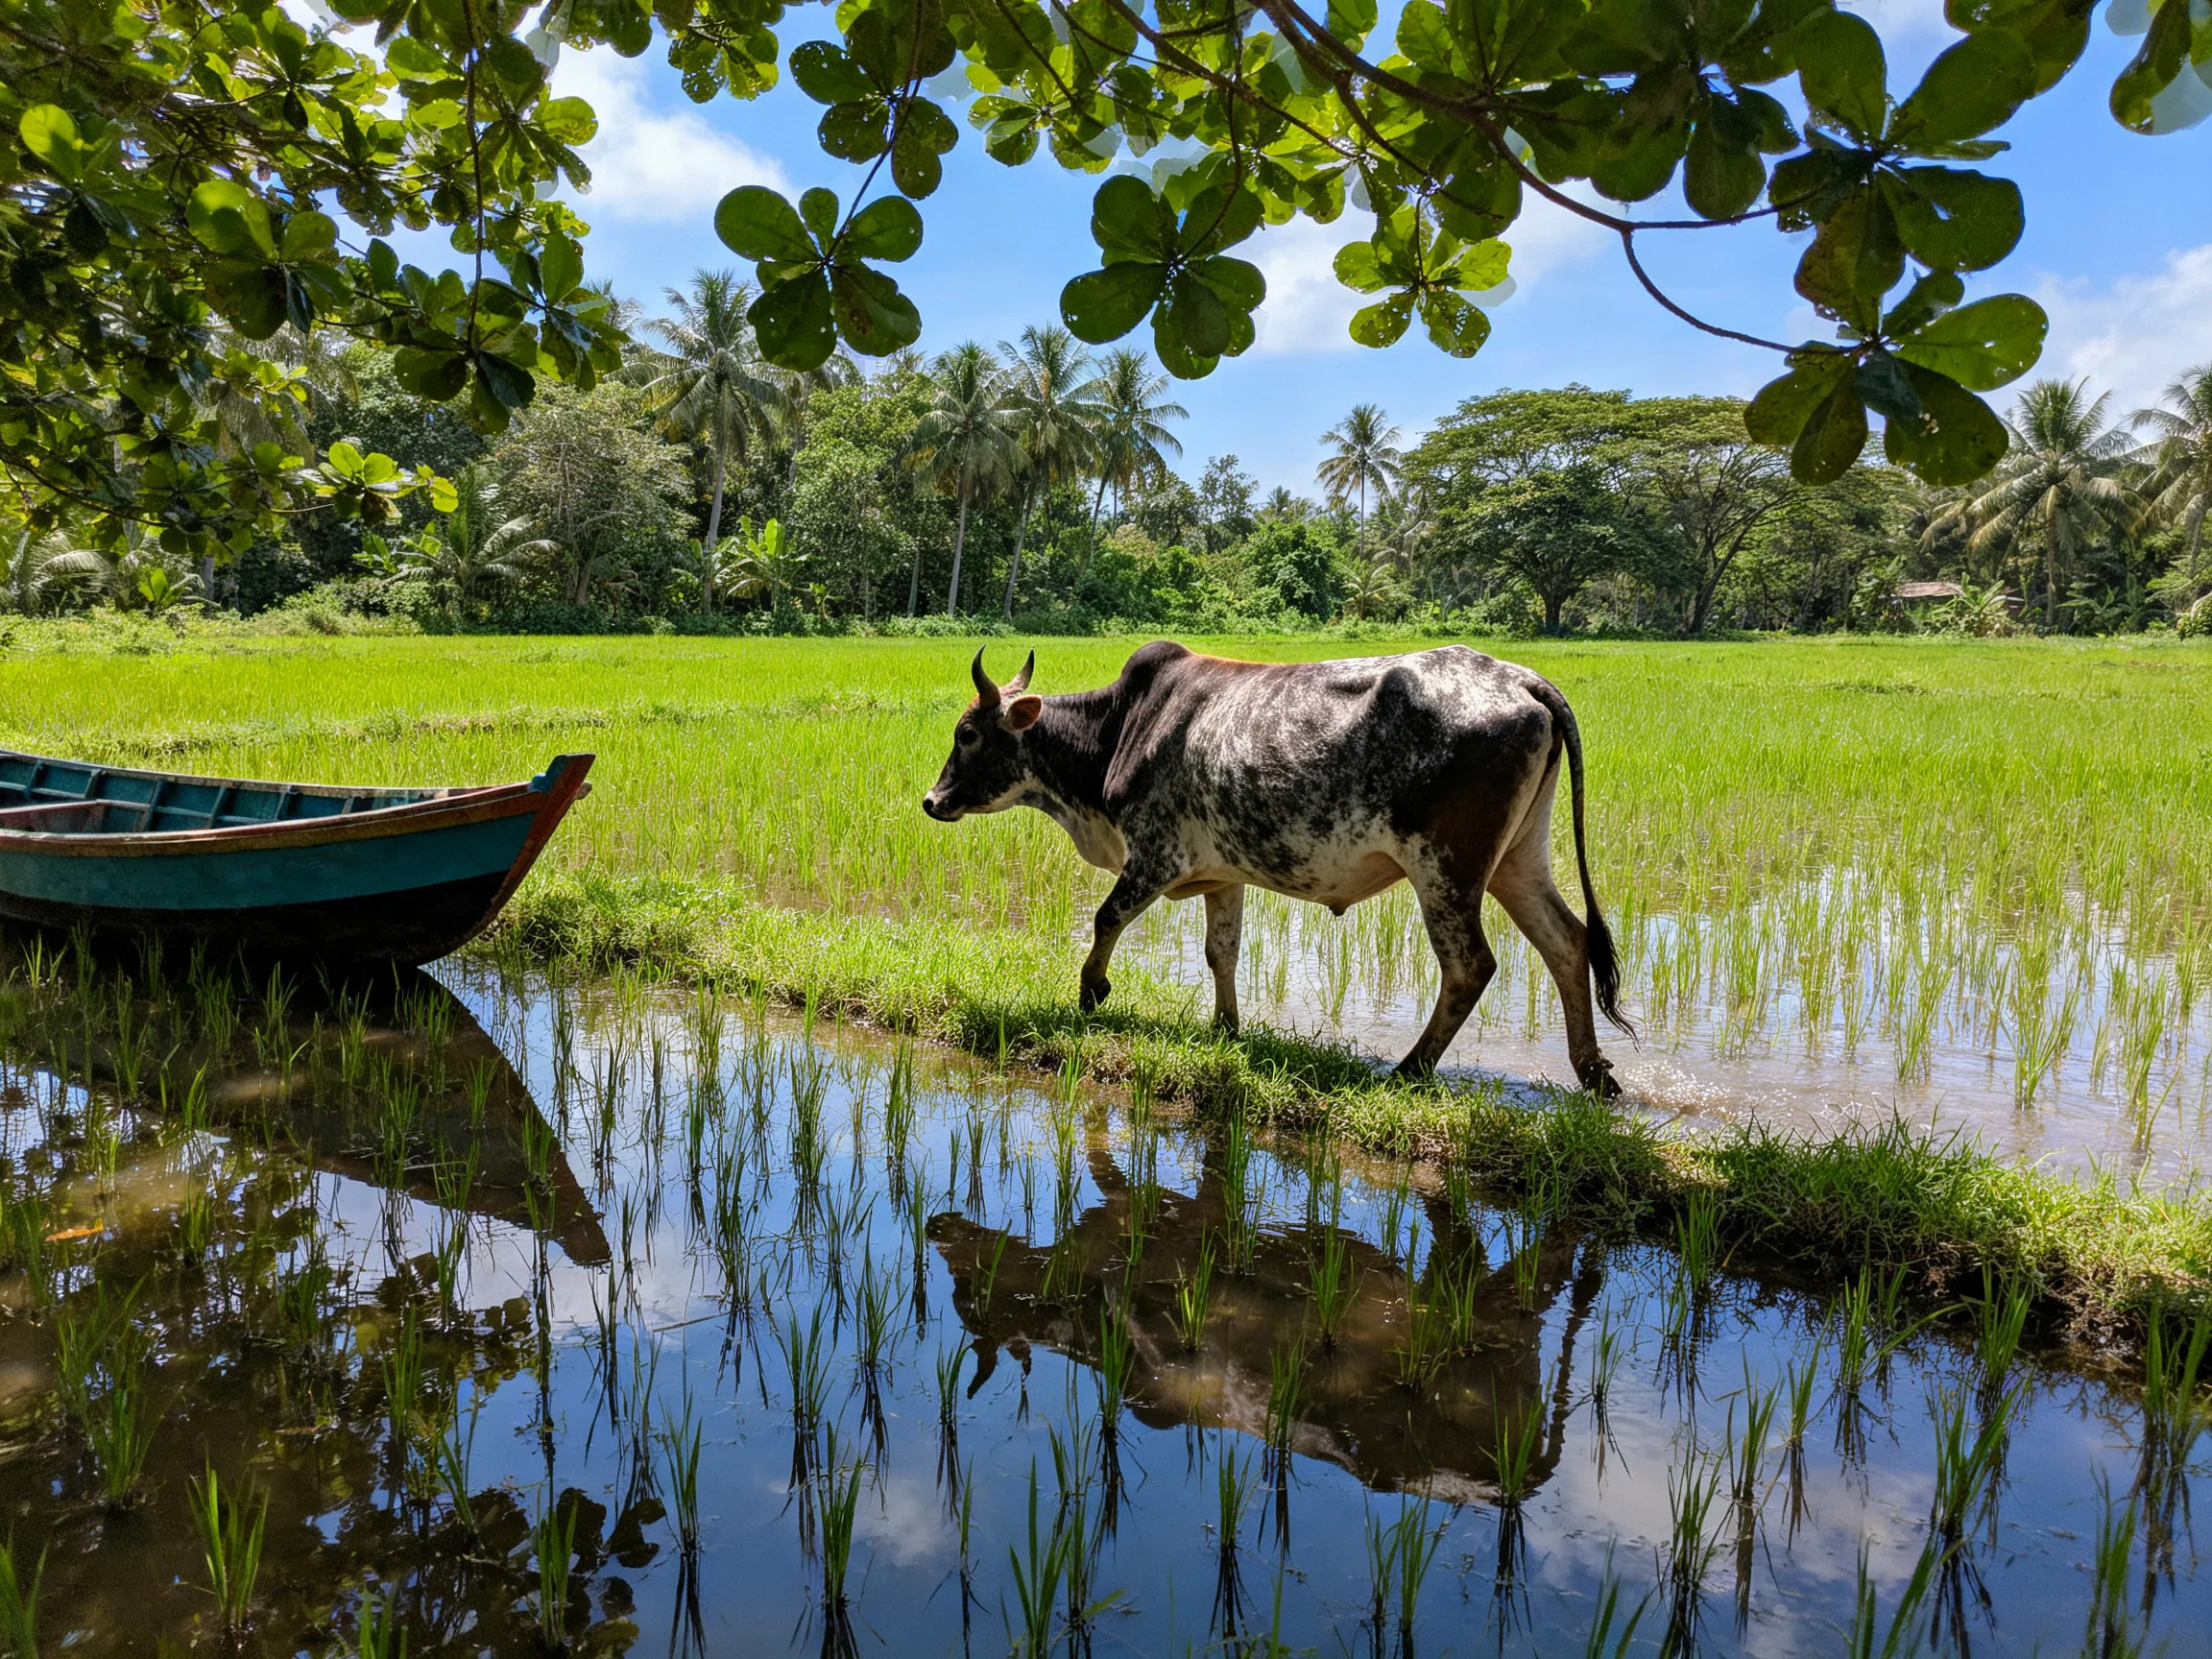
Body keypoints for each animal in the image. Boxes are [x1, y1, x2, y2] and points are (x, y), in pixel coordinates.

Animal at [921, 641, 1632, 1092]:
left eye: (968, 734)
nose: (931, 801)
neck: (1120, 729)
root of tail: (1519, 679)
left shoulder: (1155, 855)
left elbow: (1105, 919)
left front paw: (1092, 992)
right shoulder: (1222, 875)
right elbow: (1222, 952)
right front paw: (1226, 1029)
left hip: (1445, 871)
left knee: (1472, 966)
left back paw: (1410, 1070)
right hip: (1518, 860)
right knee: (1567, 943)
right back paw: (1594, 1074)